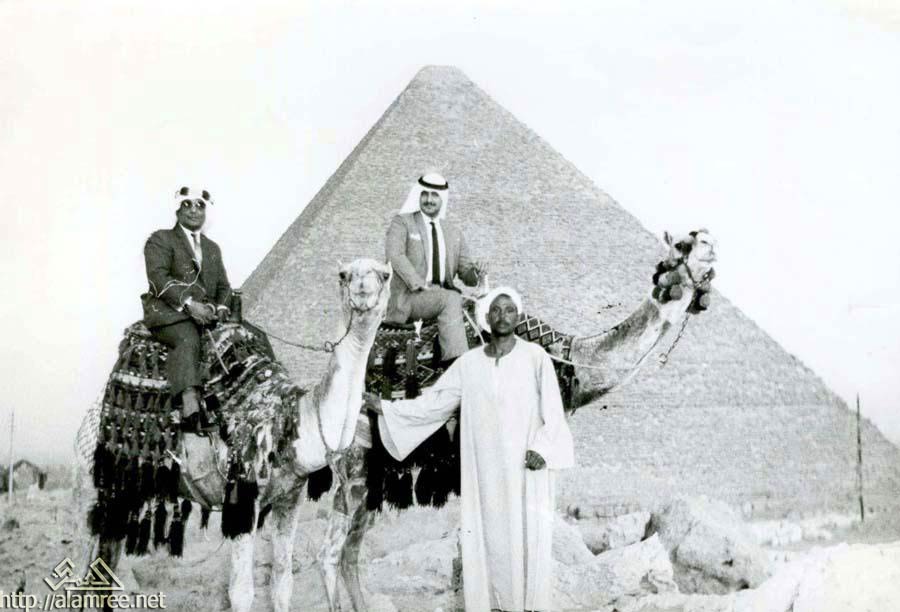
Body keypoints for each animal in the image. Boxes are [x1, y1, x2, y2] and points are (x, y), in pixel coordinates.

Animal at [73, 258, 393, 612]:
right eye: (343, 274)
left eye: (385, 274)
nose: (362, 289)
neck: (290, 418)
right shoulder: (244, 498)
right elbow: (241, 591)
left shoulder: (289, 500)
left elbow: (283, 581)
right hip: (93, 483)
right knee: (80, 567)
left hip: (129, 490)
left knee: (105, 567)